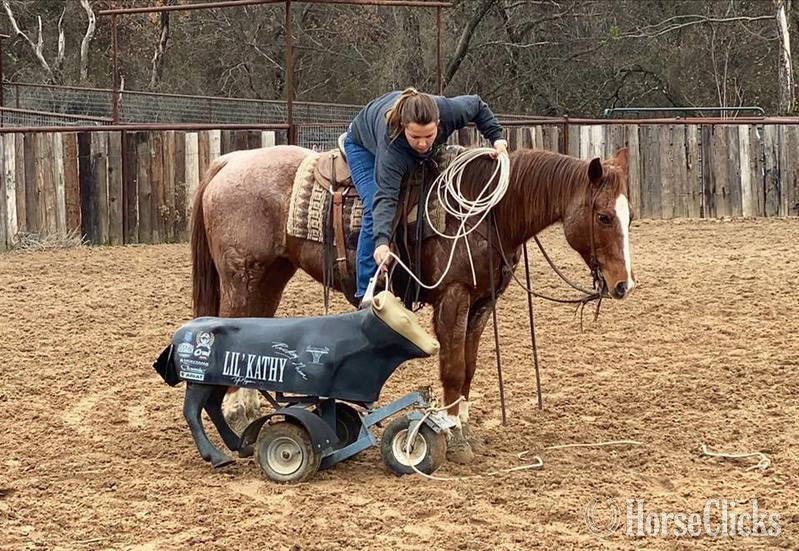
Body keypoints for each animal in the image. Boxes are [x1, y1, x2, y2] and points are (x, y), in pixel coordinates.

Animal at [190, 144, 635, 464]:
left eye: (629, 215)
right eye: (603, 217)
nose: (623, 285)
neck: (486, 213)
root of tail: (229, 162)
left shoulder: (481, 304)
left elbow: (468, 367)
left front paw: (462, 426)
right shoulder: (453, 297)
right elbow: (452, 368)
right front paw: (452, 436)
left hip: (270, 275)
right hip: (243, 278)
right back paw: (238, 418)